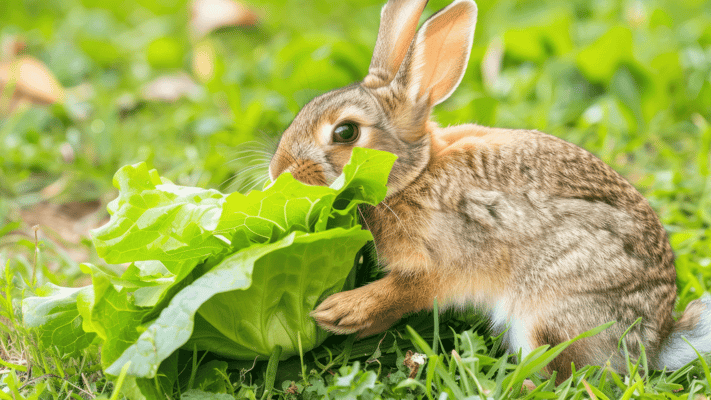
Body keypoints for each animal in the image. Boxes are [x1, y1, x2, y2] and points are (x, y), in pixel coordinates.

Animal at [268, 0, 711, 382]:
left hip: (546, 311)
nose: (278, 171)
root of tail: (654, 341)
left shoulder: (444, 262)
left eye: (346, 132)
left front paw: (338, 313)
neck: (417, 175)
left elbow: (407, 290)